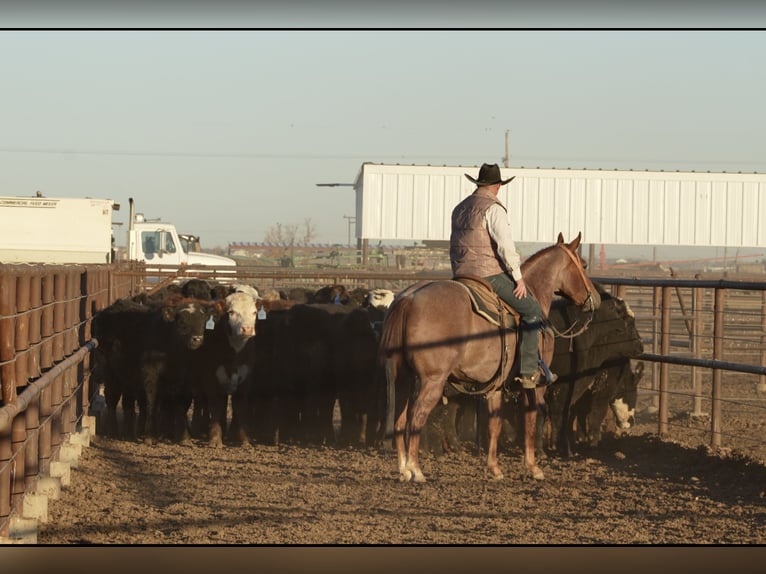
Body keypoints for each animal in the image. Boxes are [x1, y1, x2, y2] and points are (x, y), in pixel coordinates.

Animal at [380, 234, 604, 486]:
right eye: (584, 264)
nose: (595, 299)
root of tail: (408, 299)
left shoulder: (496, 386)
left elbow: (494, 424)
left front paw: (494, 468)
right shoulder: (534, 384)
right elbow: (531, 420)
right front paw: (533, 467)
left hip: (404, 379)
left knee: (399, 420)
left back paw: (403, 469)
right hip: (432, 381)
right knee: (416, 418)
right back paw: (416, 469)